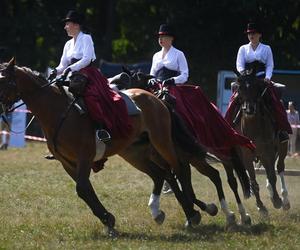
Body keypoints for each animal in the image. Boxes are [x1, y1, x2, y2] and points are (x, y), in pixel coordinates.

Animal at [0, 58, 213, 236]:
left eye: (4, 81)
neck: (58, 111)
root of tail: (156, 98)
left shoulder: (84, 156)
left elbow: (82, 188)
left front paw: (108, 219)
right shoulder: (67, 162)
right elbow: (85, 190)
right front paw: (108, 220)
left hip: (162, 143)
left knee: (179, 169)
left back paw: (193, 213)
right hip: (135, 154)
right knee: (161, 174)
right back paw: (161, 211)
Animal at [234, 70, 290, 215]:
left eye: (256, 87)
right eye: (240, 88)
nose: (249, 109)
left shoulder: (267, 152)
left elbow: (272, 176)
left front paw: (277, 200)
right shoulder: (247, 156)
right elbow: (253, 180)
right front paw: (261, 207)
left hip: (281, 148)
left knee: (280, 168)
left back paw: (284, 199)